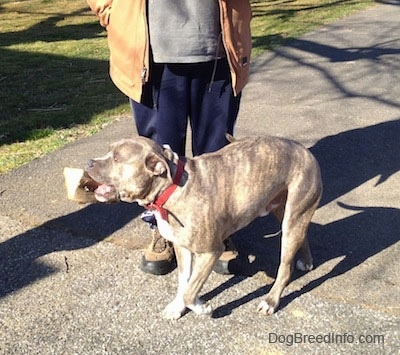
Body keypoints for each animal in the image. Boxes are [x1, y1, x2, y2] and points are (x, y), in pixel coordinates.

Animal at [85, 135, 322, 322]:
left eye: (117, 158)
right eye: (109, 150)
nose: (88, 162)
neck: (171, 189)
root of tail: (303, 149)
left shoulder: (211, 251)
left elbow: (190, 291)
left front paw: (202, 308)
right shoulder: (182, 248)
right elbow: (184, 283)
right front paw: (177, 307)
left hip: (292, 218)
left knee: (285, 267)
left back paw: (271, 301)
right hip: (285, 211)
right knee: (303, 234)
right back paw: (307, 260)